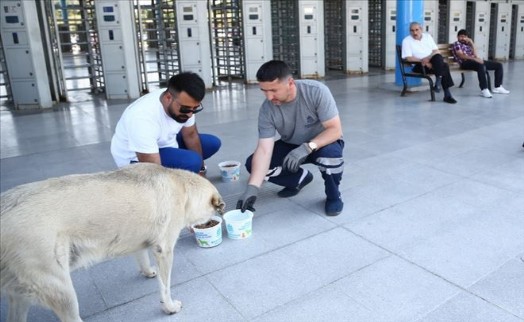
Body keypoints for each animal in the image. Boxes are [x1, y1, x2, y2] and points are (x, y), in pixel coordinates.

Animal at [0, 164, 225, 322]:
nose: (210, 223)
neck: (182, 186)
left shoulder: (140, 241)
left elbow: (142, 258)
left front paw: (147, 272)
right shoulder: (164, 250)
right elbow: (165, 287)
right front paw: (169, 307)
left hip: (21, 295)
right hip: (62, 291)